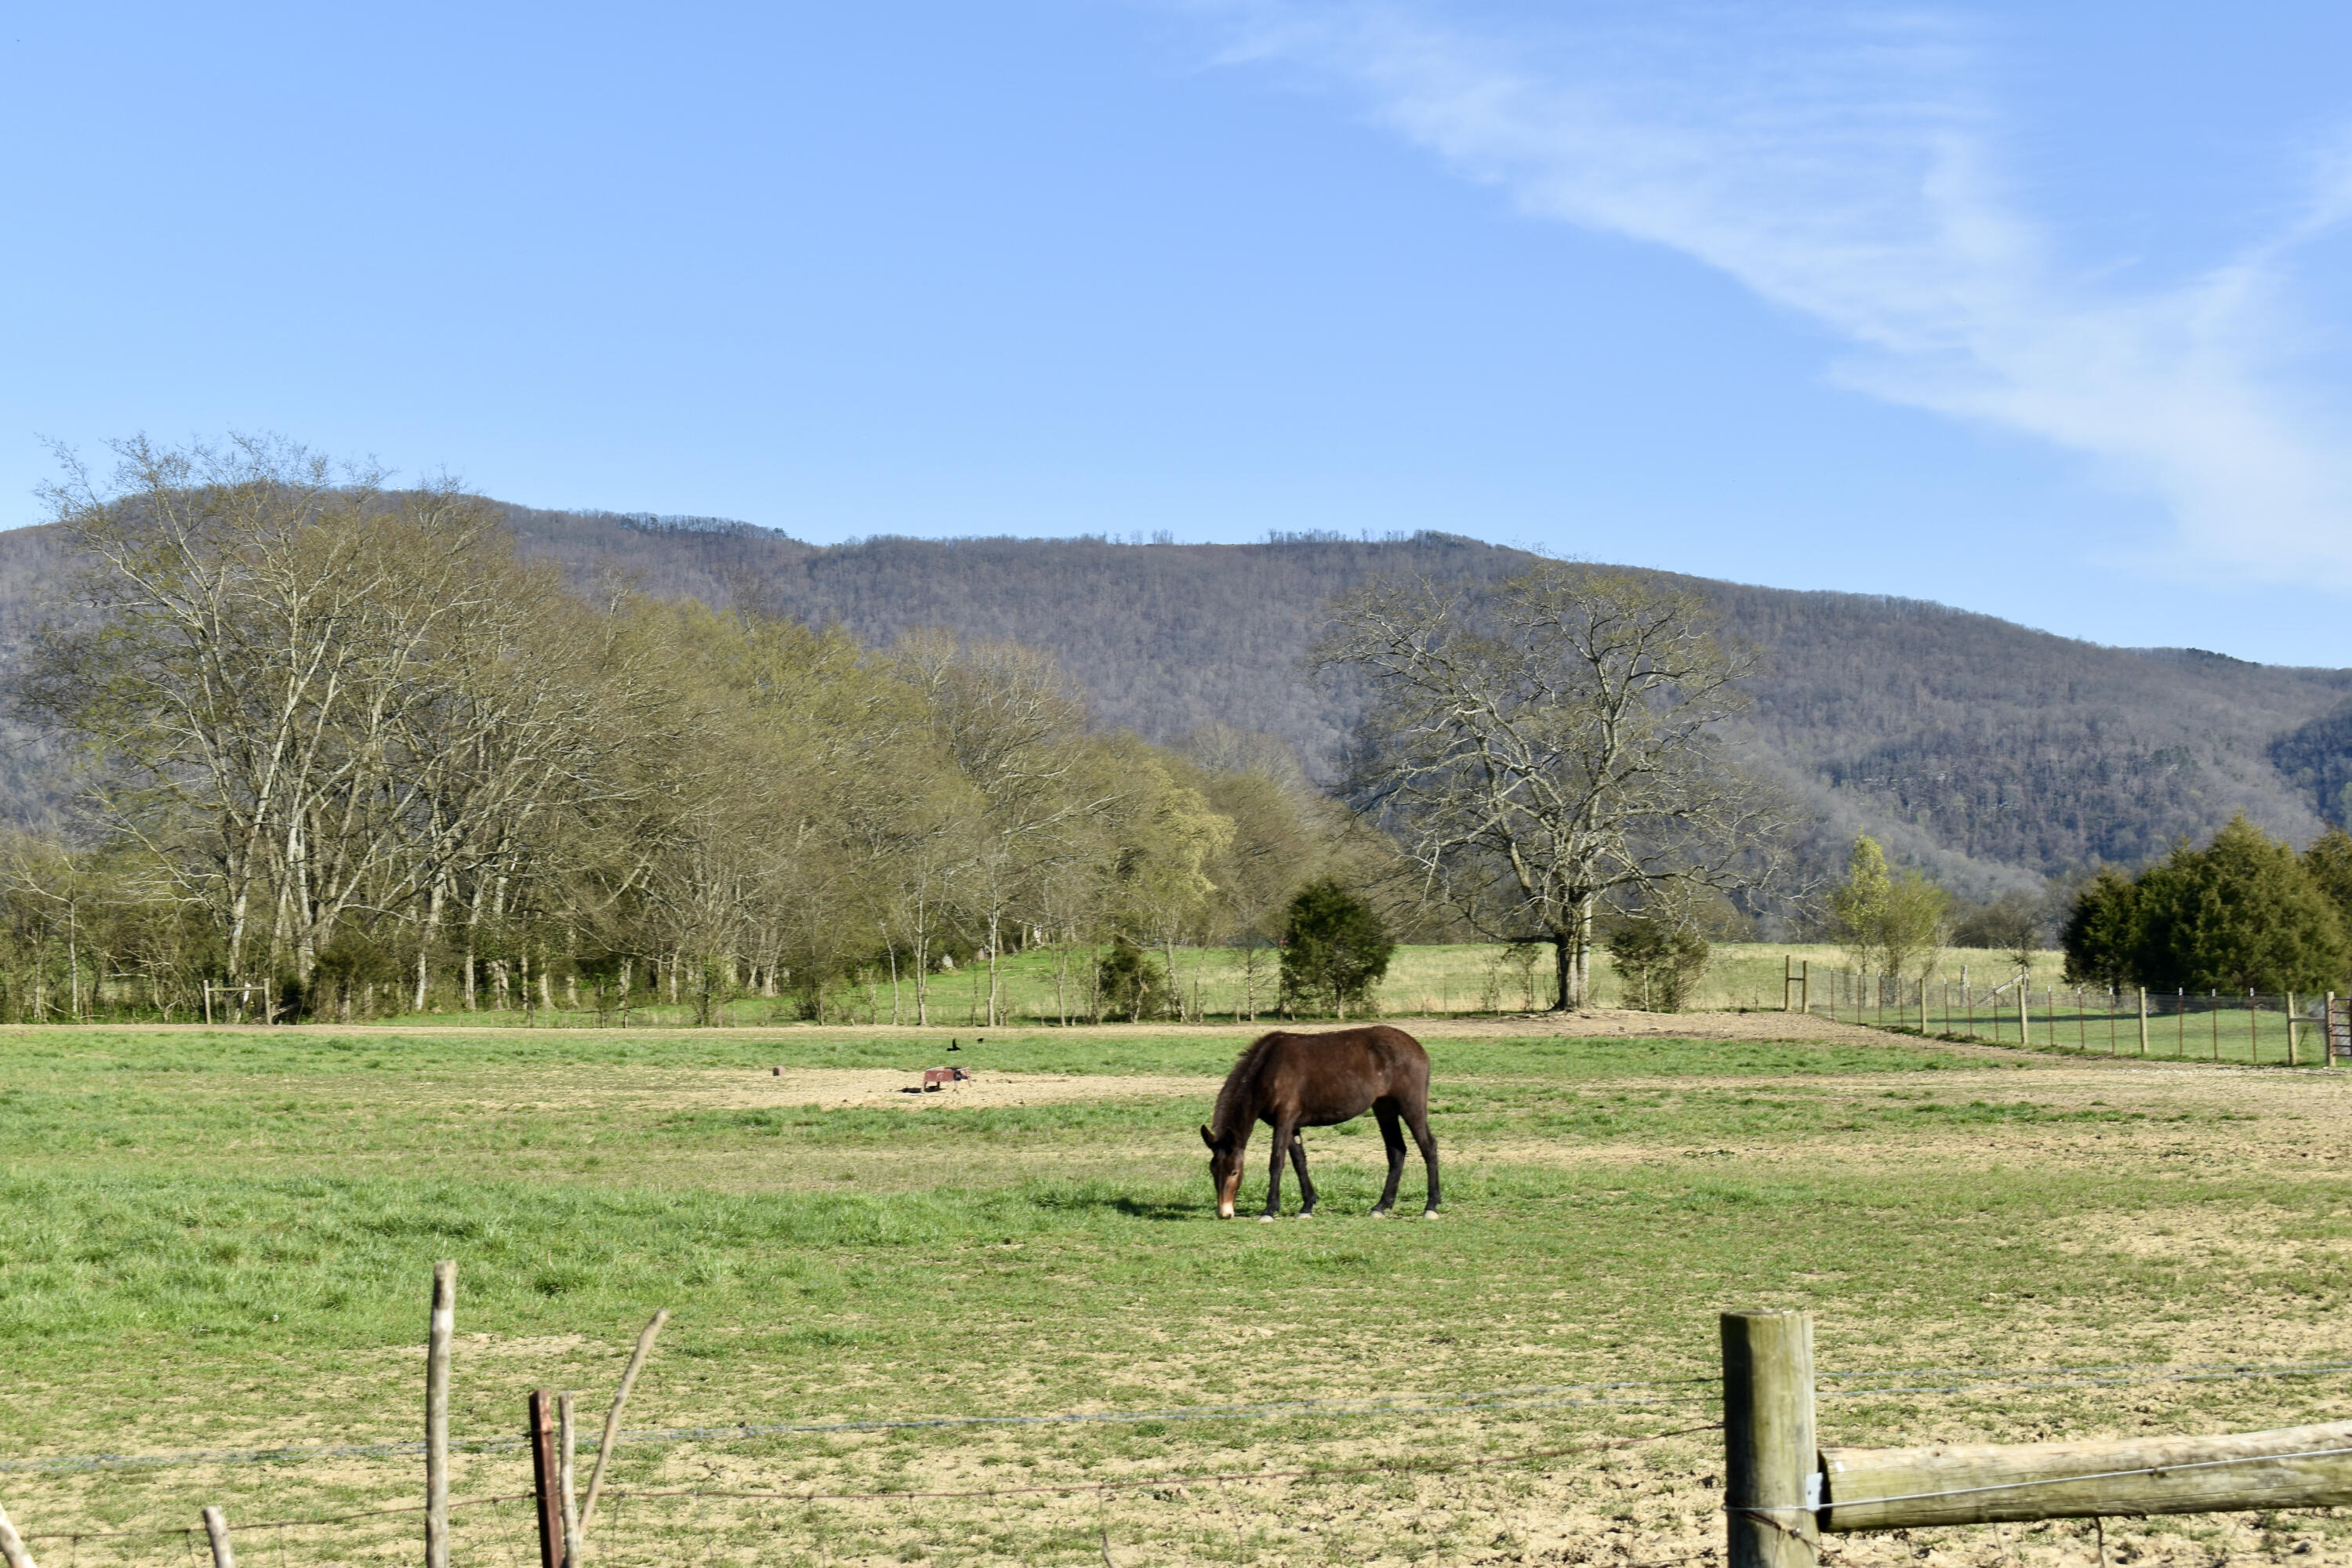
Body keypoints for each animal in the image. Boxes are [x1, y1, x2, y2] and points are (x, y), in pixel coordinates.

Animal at [1204, 1029, 1439, 1222]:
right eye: (1213, 1170)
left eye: (1234, 1172)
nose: (1224, 1213)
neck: (1268, 1067)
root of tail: (1417, 1047)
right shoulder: (1291, 1125)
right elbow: (1299, 1162)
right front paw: (1307, 1206)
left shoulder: (1284, 1120)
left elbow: (1276, 1162)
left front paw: (1269, 1210)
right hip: (1384, 1107)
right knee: (1397, 1151)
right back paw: (1381, 1206)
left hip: (1410, 1105)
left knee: (1428, 1146)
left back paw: (1432, 1206)